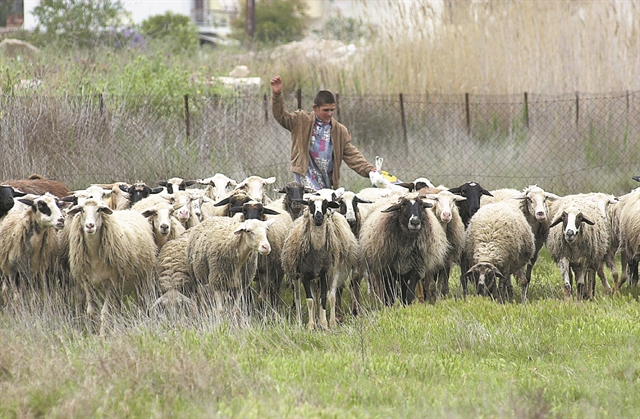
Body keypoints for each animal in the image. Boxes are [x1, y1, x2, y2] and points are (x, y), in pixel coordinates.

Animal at [65, 199, 158, 336]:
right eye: (82, 210)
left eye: (99, 210)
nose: (89, 226)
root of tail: (130, 211)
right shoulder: (88, 283)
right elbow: (92, 311)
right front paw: (94, 333)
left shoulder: (111, 283)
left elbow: (105, 312)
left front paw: (102, 336)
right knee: (117, 309)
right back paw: (117, 330)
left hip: (142, 281)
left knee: (141, 304)